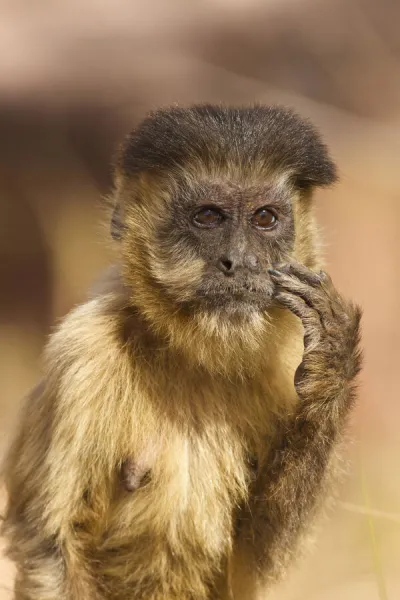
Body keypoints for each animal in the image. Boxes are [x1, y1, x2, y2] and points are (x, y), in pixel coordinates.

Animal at [0, 105, 362, 596]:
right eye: (207, 217)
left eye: (265, 218)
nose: (239, 262)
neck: (191, 357)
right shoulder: (83, 350)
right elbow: (49, 545)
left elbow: (252, 564)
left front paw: (331, 363)